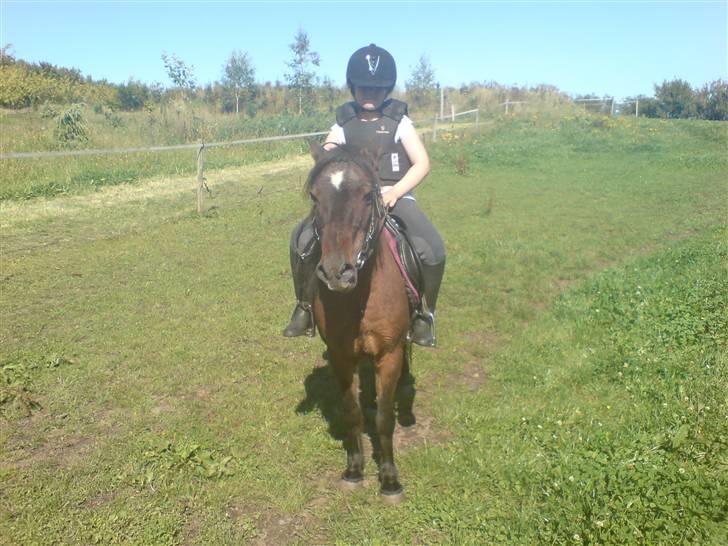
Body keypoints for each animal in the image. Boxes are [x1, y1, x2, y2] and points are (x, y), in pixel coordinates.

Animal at [304, 141, 411, 503]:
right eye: (314, 197)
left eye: (367, 195)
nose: (337, 273)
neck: (360, 296)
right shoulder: (340, 355)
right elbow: (351, 412)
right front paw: (354, 469)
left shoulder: (389, 355)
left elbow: (384, 418)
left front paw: (390, 479)